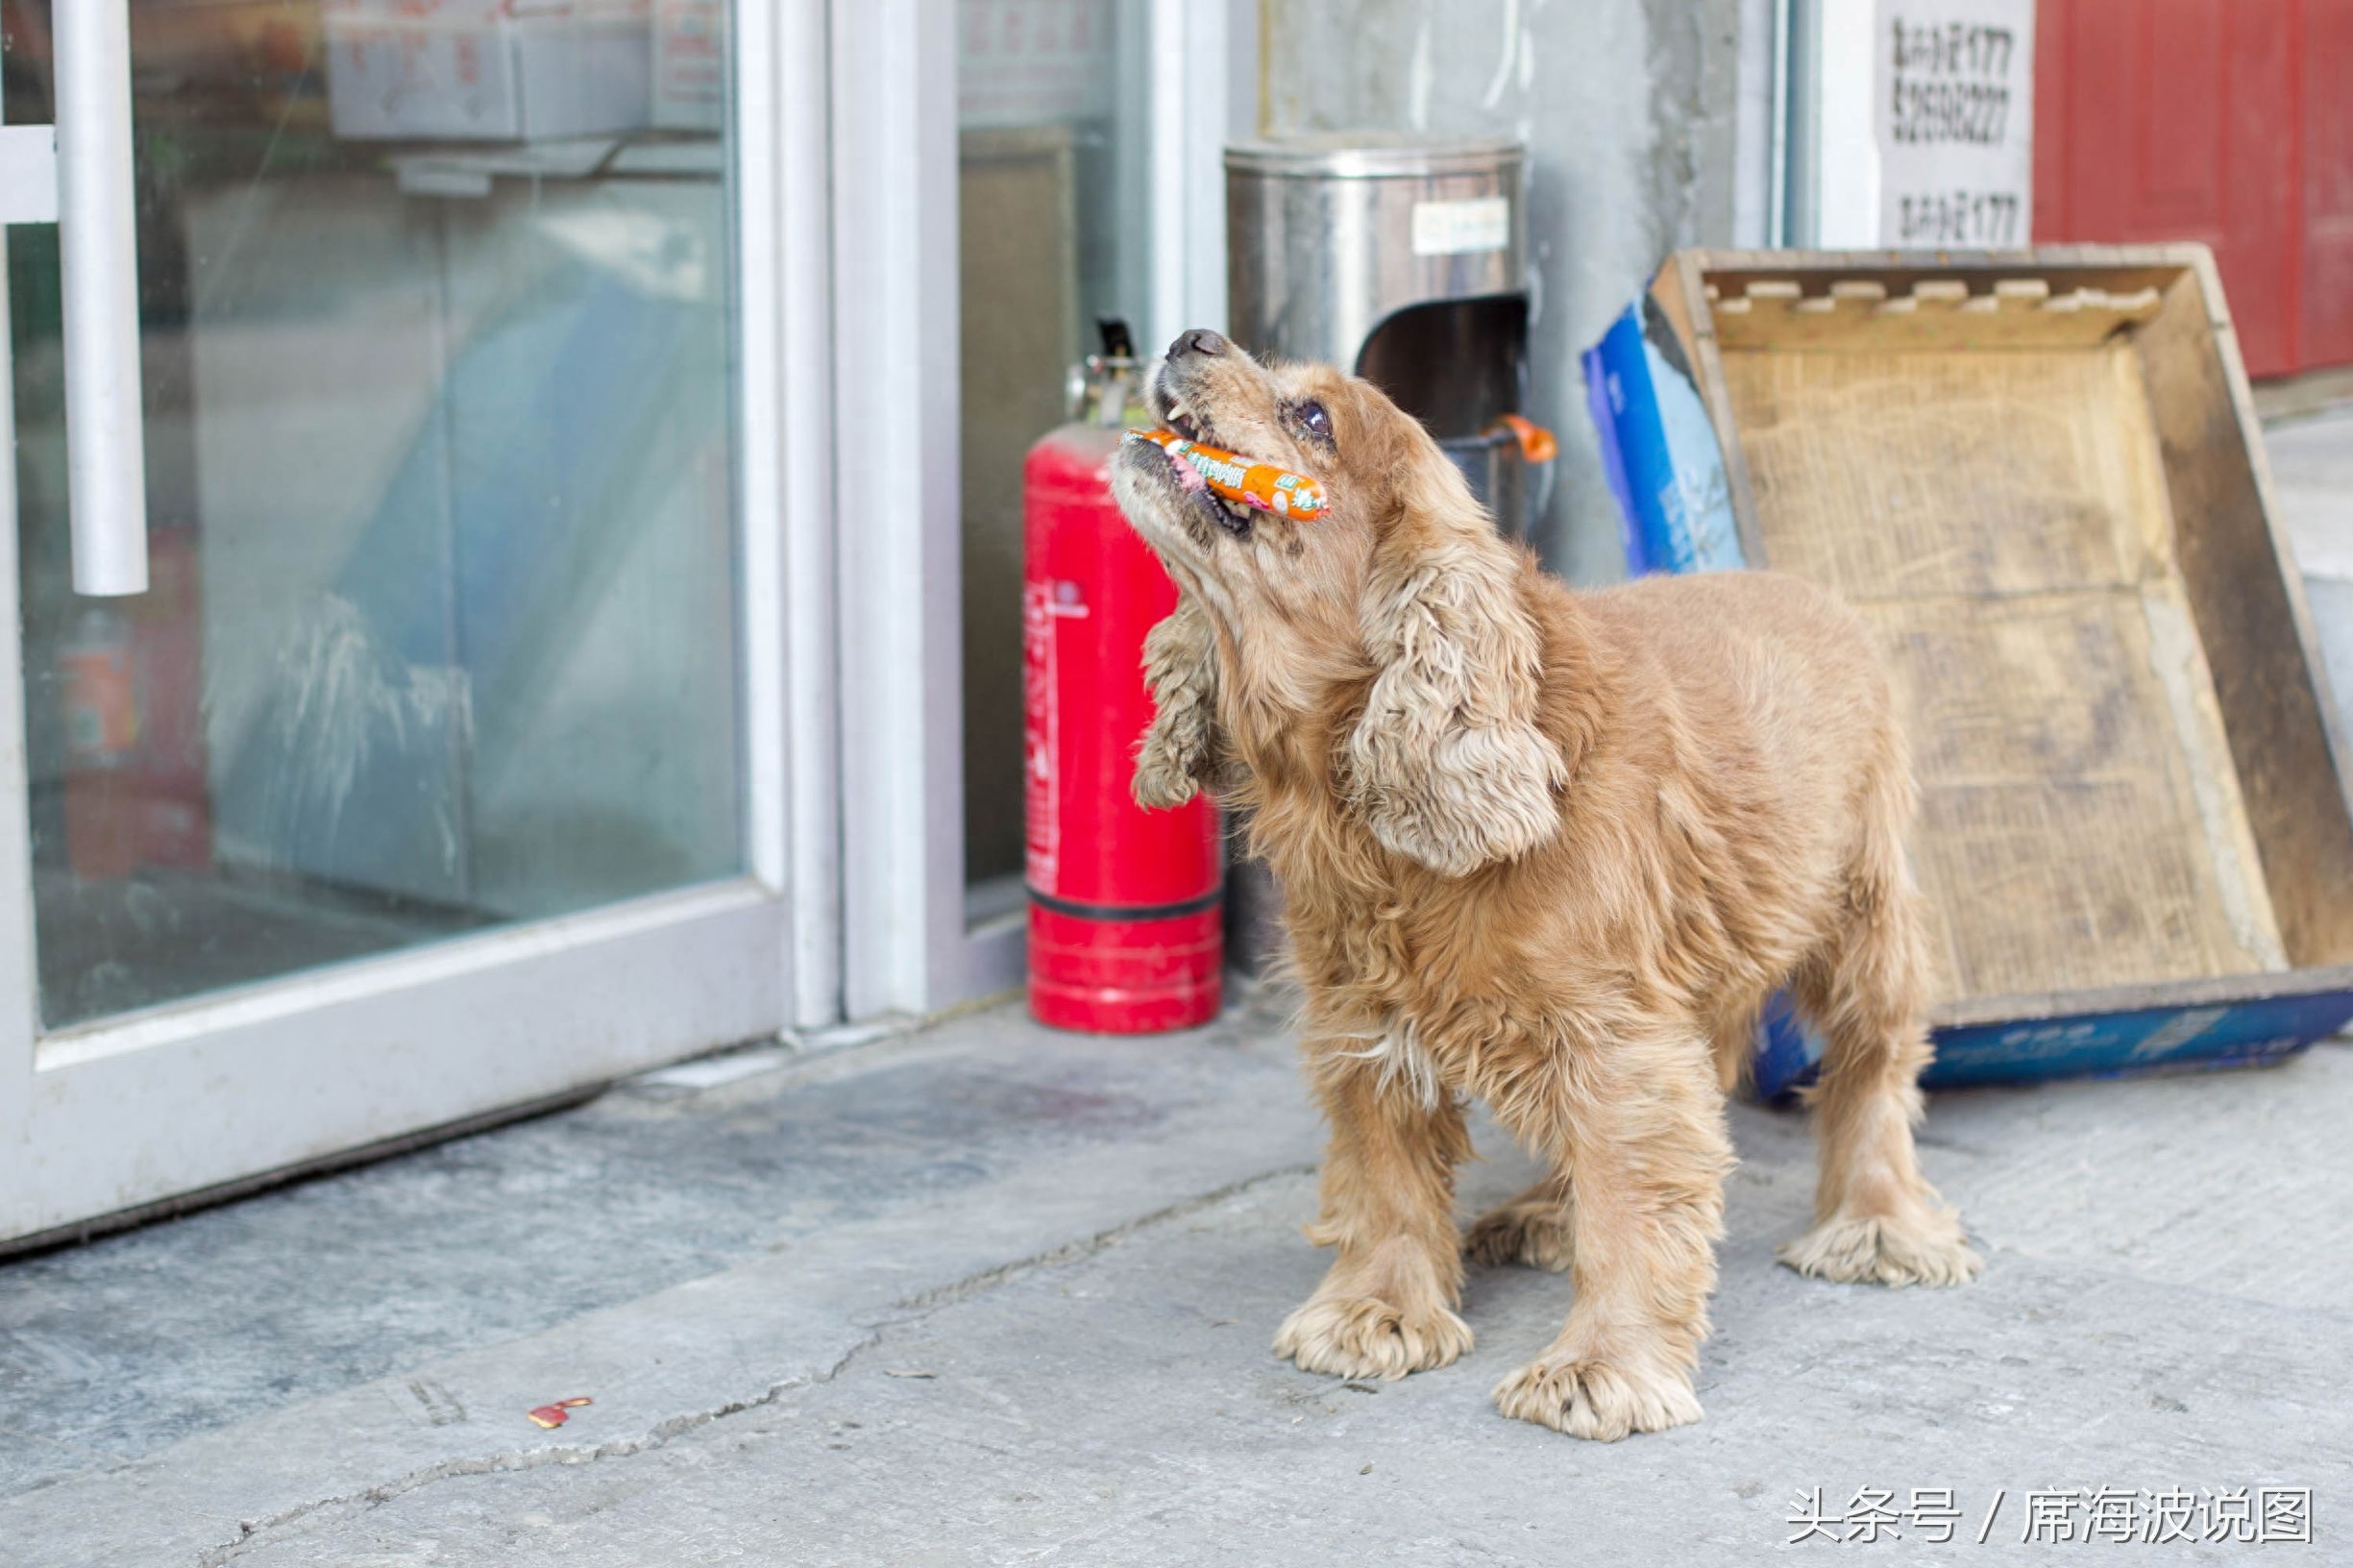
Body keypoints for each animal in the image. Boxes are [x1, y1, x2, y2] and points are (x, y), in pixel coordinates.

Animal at [1110, 322, 1976, 1431]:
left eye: (1312, 416)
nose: (1190, 335)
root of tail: (1805, 588)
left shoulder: (1613, 1037)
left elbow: (1631, 1204)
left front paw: (1602, 1366)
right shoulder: (1363, 1018)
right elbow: (1388, 1175)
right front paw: (1378, 1311)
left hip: (1859, 912)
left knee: (1874, 1067)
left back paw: (1876, 1223)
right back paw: (1544, 1215)